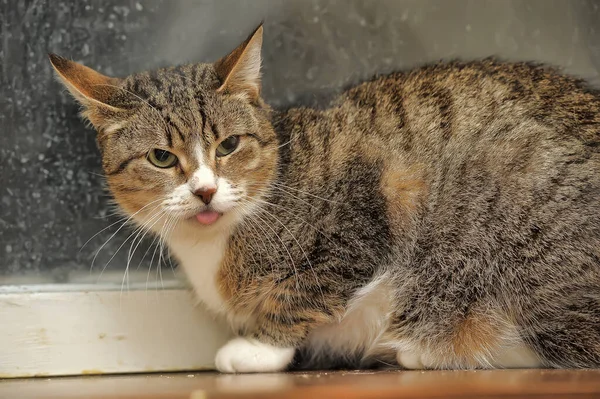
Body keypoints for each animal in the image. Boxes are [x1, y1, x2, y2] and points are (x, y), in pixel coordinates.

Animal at [50, 25, 600, 374]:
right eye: (162, 157)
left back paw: (431, 349)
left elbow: (307, 291)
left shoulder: (367, 205)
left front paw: (259, 350)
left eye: (228, 145)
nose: (205, 189)